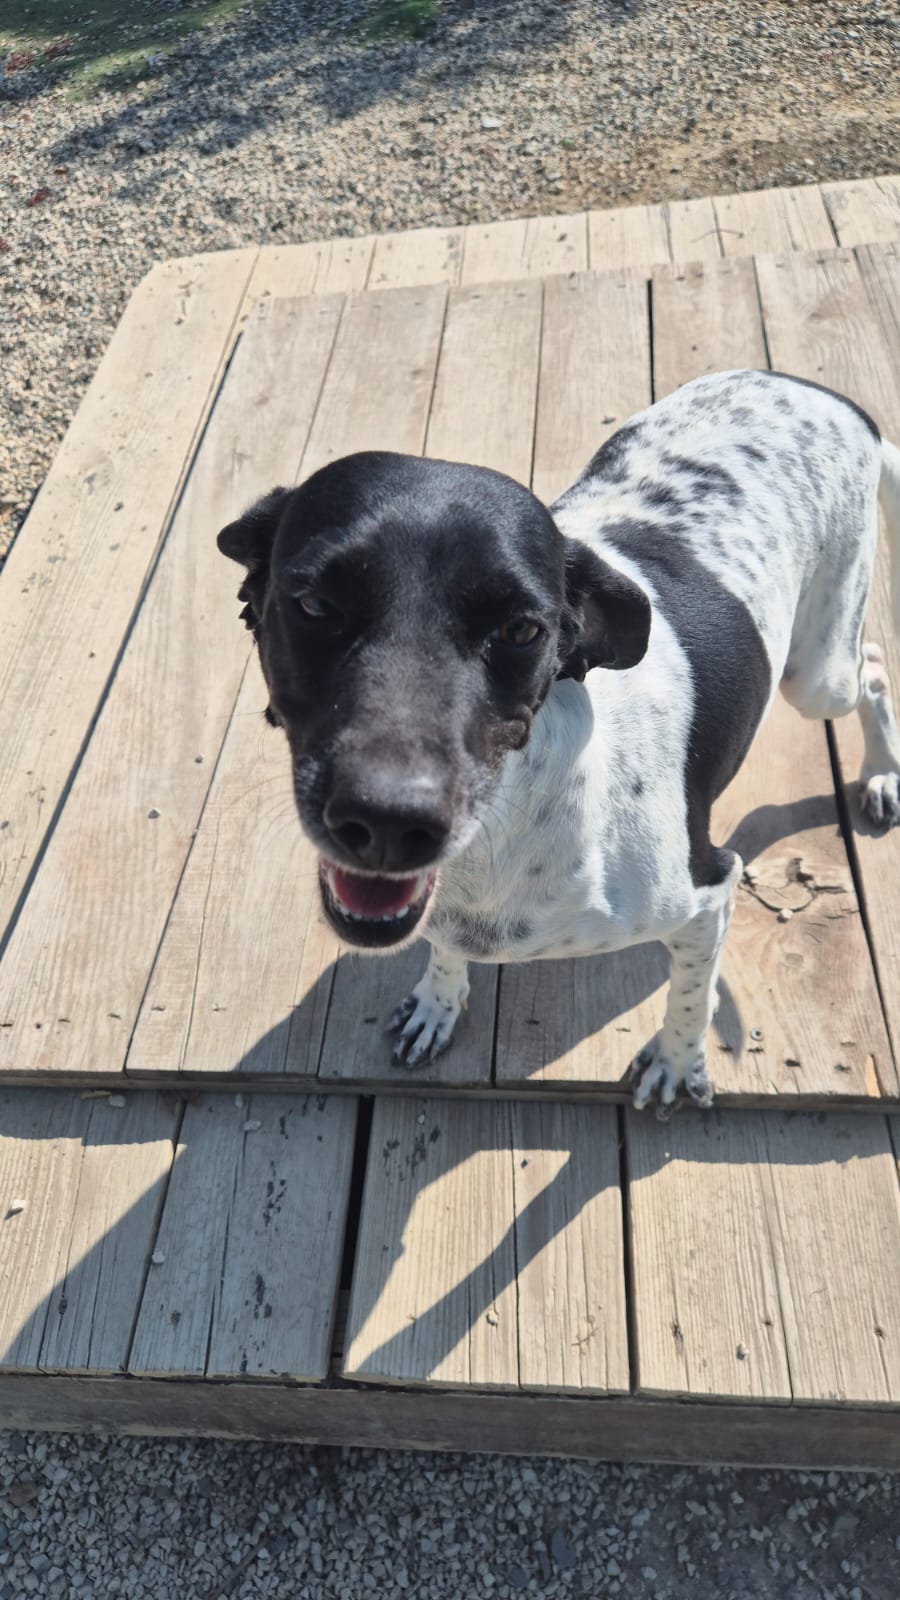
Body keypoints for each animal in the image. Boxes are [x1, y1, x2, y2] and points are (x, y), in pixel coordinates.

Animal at [218, 369, 900, 1112]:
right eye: (313, 604)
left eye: (522, 630)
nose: (388, 822)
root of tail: (820, 392)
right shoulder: (443, 911)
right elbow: (442, 947)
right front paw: (437, 1002)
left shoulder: (709, 891)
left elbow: (691, 997)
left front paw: (676, 1059)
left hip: (817, 673)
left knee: (873, 666)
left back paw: (883, 774)